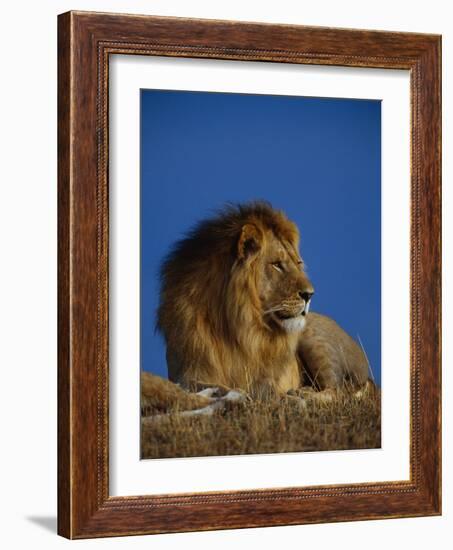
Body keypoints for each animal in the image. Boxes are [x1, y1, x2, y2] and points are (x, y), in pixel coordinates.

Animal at [157, 201, 370, 398]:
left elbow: (263, 389)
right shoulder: (184, 374)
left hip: (315, 341)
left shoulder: (268, 377)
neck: (234, 328)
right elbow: (208, 386)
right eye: (277, 264)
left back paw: (302, 393)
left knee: (337, 391)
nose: (310, 294)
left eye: (298, 263)